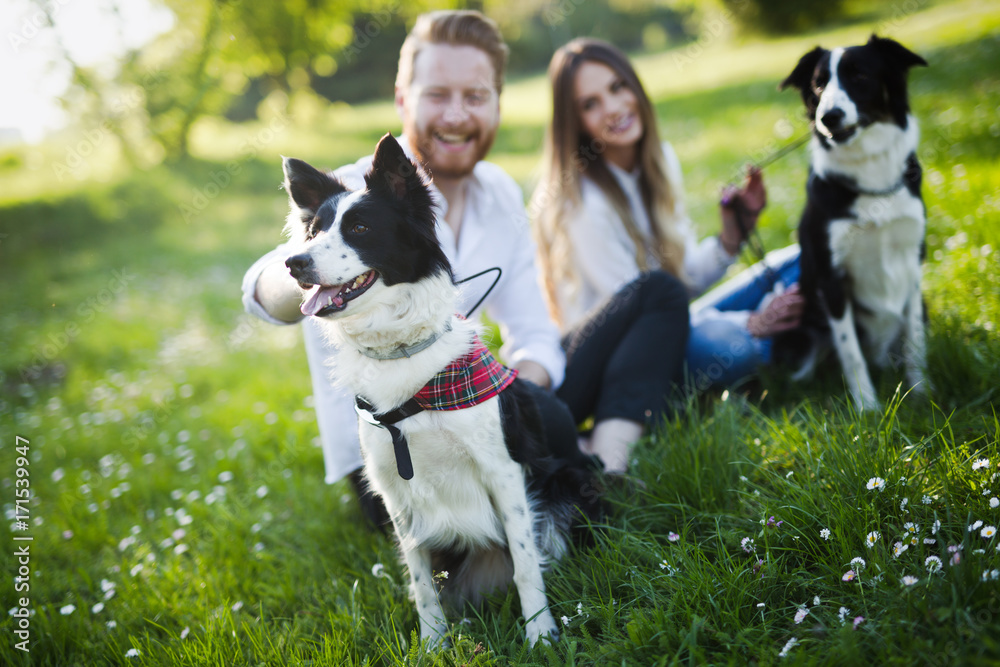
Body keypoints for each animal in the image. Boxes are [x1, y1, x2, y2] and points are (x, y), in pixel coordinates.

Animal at [278, 132, 596, 648]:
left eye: (360, 227)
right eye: (313, 233)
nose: (293, 263)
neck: (403, 354)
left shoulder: (504, 472)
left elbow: (527, 564)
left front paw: (541, 634)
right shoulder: (394, 492)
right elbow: (421, 581)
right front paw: (433, 645)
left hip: (565, 486)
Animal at [780, 35, 928, 412]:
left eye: (859, 75)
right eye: (819, 84)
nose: (828, 116)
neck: (870, 175)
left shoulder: (914, 260)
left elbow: (915, 339)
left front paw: (923, 395)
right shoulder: (831, 276)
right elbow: (851, 351)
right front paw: (868, 409)